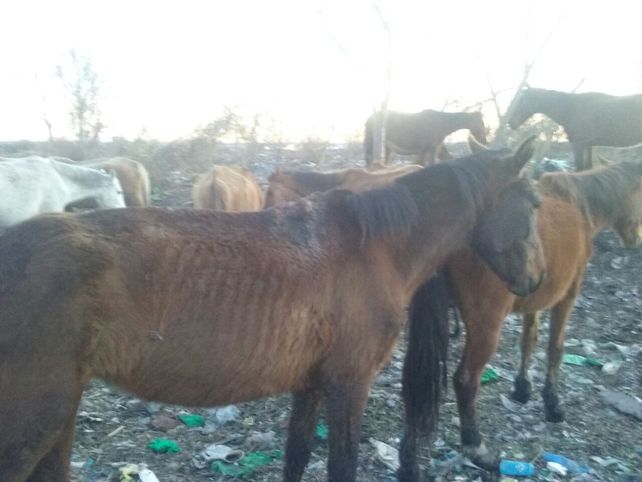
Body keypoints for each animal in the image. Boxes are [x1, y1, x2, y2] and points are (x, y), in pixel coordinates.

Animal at [398, 155, 642, 479]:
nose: (636, 239)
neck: (579, 203)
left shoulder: (534, 295)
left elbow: (529, 340)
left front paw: (522, 389)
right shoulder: (567, 297)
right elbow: (555, 348)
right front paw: (552, 404)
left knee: (417, 382)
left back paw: (408, 464)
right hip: (485, 328)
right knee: (465, 380)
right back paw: (477, 447)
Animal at [508, 87, 642, 171]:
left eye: (520, 101)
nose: (511, 123)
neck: (571, 108)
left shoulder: (579, 145)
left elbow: (579, 169)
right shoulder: (588, 146)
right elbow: (587, 169)